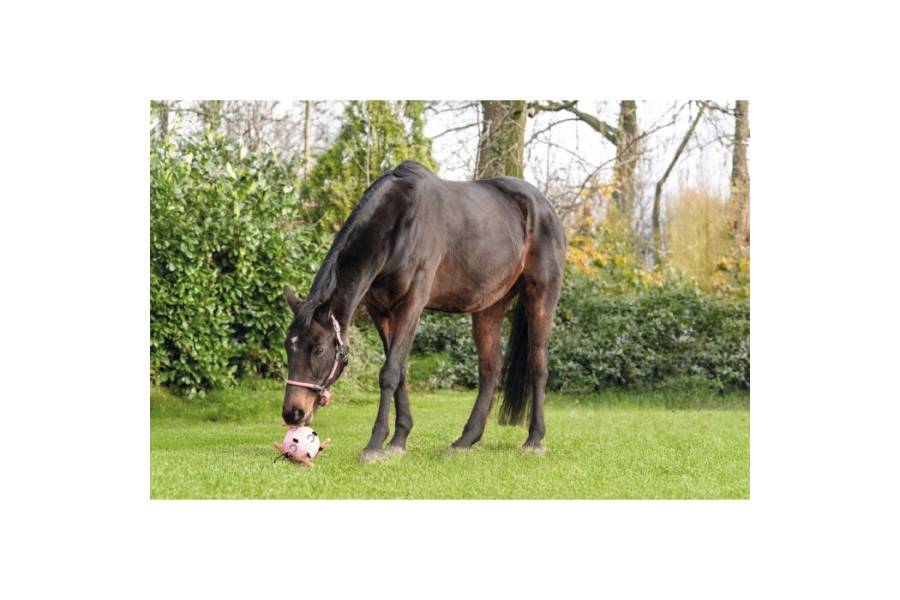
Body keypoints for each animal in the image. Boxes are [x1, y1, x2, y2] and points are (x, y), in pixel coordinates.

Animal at [282, 160, 566, 461]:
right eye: (288, 346)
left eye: (319, 349)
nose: (293, 413)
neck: (399, 224)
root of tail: (544, 207)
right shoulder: (380, 311)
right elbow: (400, 371)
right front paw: (398, 439)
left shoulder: (411, 304)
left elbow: (389, 372)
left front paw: (375, 444)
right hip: (489, 307)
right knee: (489, 369)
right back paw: (465, 440)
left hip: (541, 296)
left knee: (538, 366)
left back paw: (534, 439)